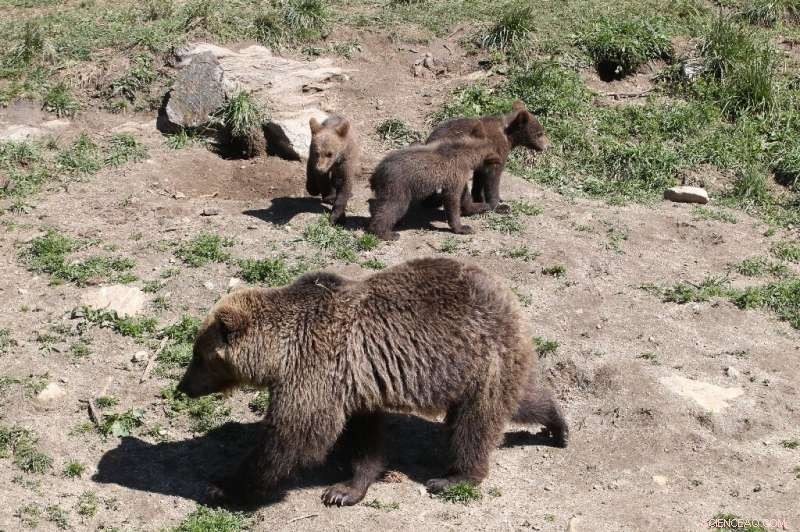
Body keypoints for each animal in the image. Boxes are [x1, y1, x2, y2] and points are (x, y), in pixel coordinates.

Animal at [177, 257, 568, 508]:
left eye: (198, 356)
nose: (183, 386)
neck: (280, 352)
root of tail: (505, 291)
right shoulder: (354, 383)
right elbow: (365, 439)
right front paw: (347, 489)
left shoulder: (314, 370)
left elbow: (293, 436)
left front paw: (224, 485)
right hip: (476, 367)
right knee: (520, 400)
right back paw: (558, 425)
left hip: (480, 358)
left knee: (475, 424)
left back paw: (454, 477)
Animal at [367, 123, 502, 240]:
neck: (467, 155)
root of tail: (377, 170)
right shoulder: (455, 173)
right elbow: (452, 199)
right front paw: (462, 227)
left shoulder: (458, 176)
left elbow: (464, 194)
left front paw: (479, 206)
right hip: (398, 185)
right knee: (392, 207)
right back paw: (387, 233)